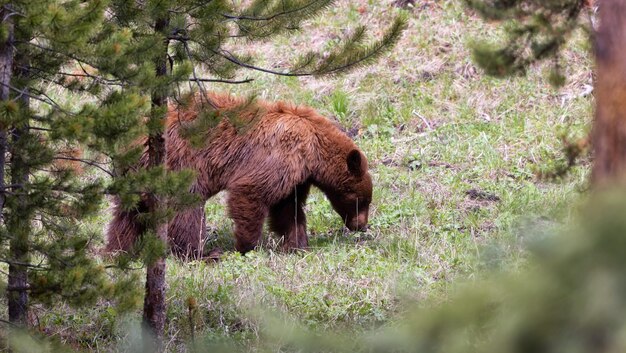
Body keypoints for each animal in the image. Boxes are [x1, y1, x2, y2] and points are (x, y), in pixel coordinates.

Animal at [105, 92, 372, 258]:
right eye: (361, 200)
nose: (361, 225)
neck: (314, 146)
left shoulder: (297, 176)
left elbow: (288, 208)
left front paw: (297, 245)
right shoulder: (280, 155)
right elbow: (250, 193)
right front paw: (247, 246)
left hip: (137, 175)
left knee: (128, 214)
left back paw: (118, 250)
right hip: (176, 166)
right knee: (186, 210)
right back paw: (200, 254)